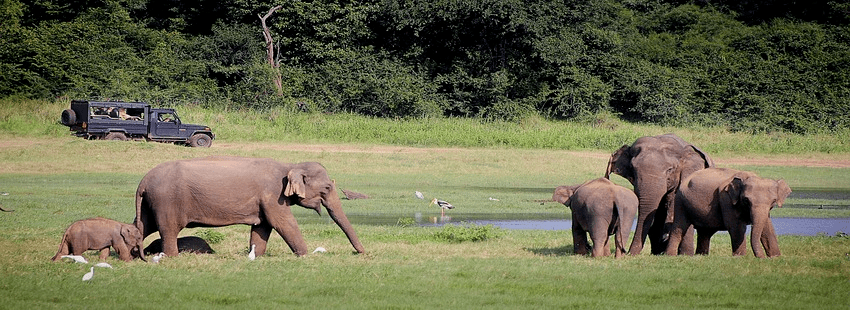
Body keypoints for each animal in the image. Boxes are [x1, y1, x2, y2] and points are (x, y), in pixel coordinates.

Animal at [135, 156, 364, 258]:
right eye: (327, 187)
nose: (361, 253)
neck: (290, 165)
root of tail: (143, 181)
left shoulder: (265, 201)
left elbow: (262, 227)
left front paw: (257, 256)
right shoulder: (273, 195)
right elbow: (283, 222)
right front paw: (305, 256)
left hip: (151, 203)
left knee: (142, 226)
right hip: (167, 201)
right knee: (168, 229)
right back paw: (172, 257)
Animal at [664, 168, 792, 258]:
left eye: (773, 201)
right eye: (746, 200)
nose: (760, 258)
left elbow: (767, 228)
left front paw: (775, 257)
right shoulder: (726, 199)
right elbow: (736, 227)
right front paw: (740, 257)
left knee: (705, 232)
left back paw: (701, 255)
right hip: (680, 201)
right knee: (679, 228)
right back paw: (670, 256)